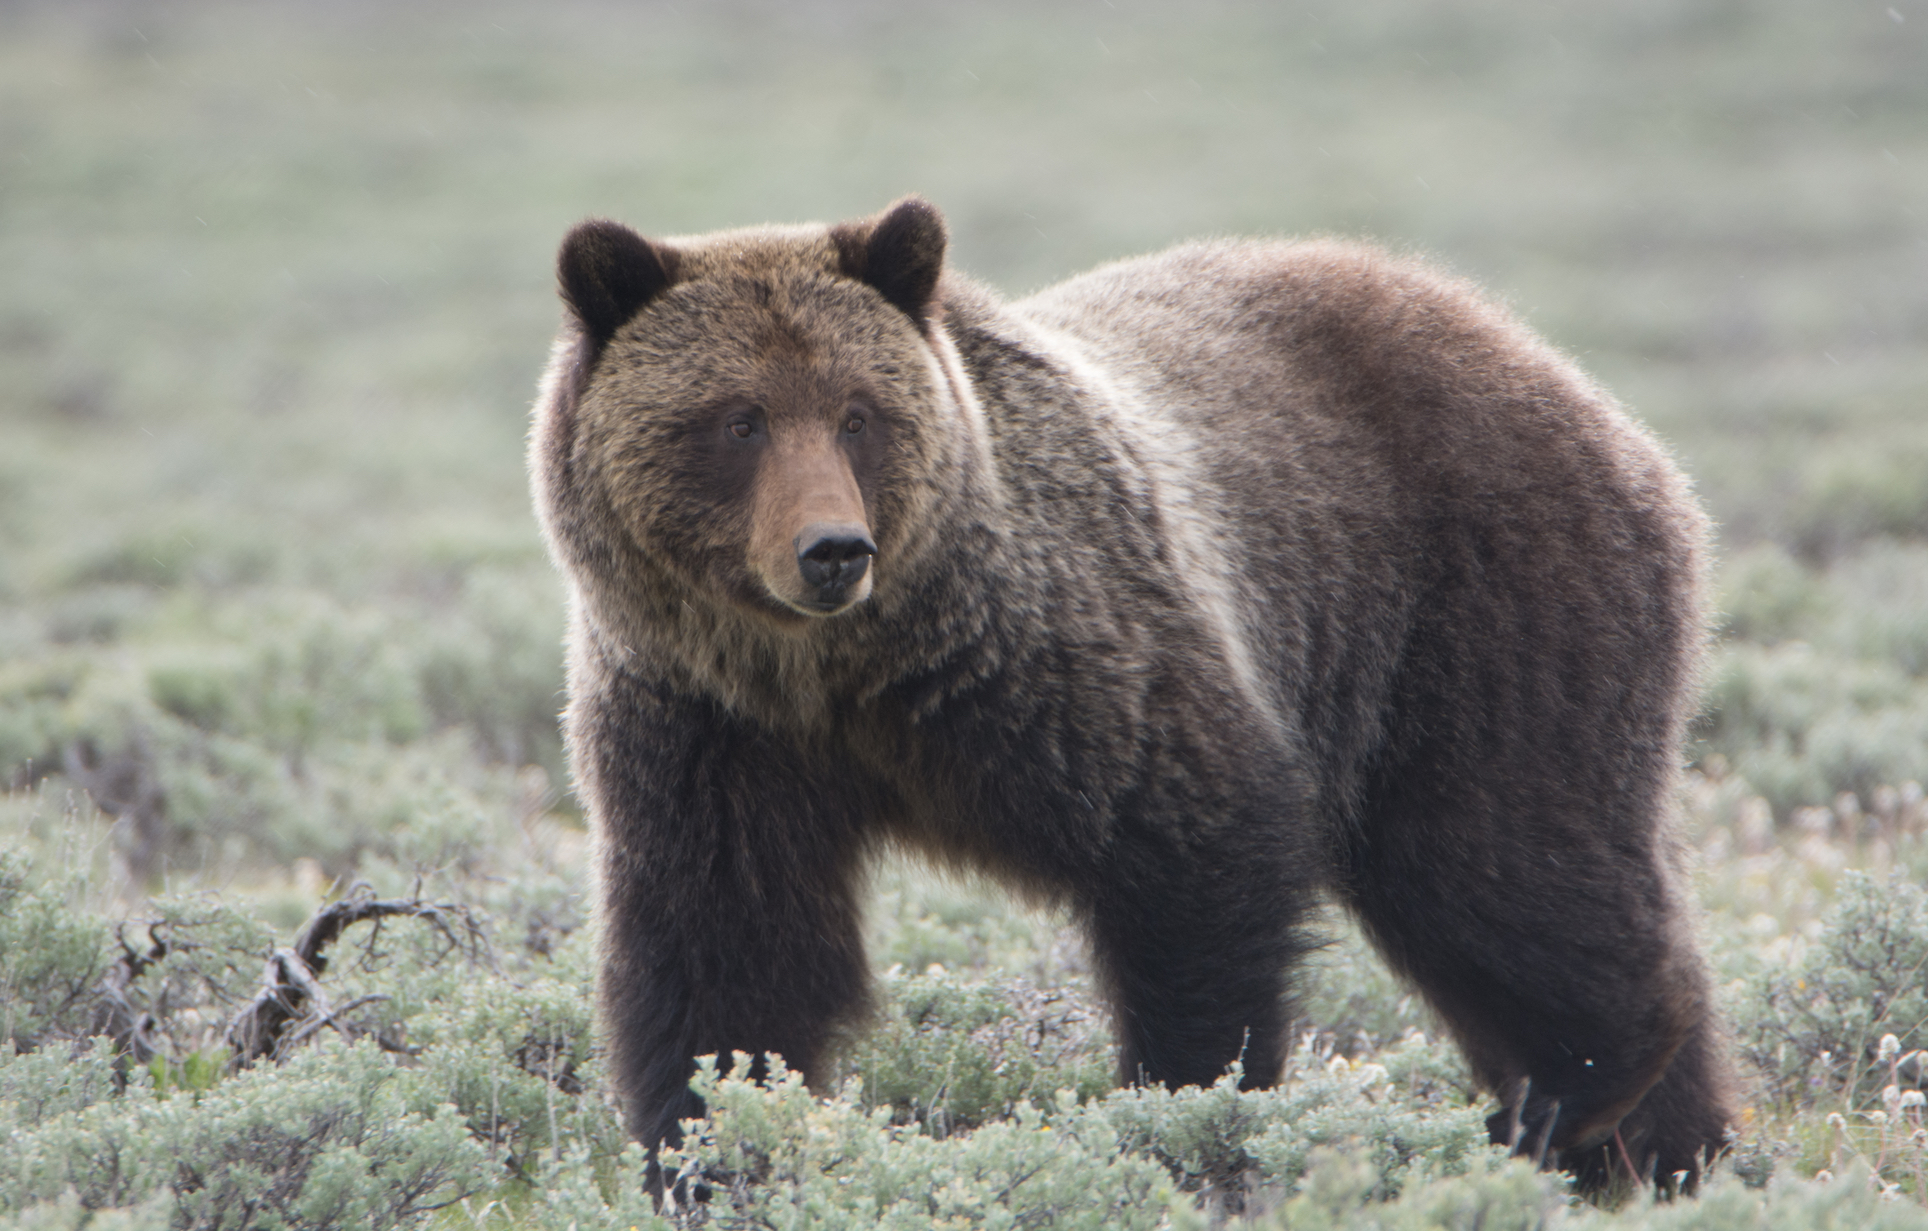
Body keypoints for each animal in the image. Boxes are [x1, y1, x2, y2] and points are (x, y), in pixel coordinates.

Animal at [529, 196, 1735, 1194]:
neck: (848, 673)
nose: (831, 549)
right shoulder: (710, 726)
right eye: (737, 418)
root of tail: (1560, 371)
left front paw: (1186, 1114)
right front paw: (711, 1151)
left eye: (857, 412)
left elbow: (1196, 856)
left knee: (1505, 865)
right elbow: (729, 956)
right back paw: (1659, 1151)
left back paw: (1586, 1099)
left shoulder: (1063, 660)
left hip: (1479, 609)